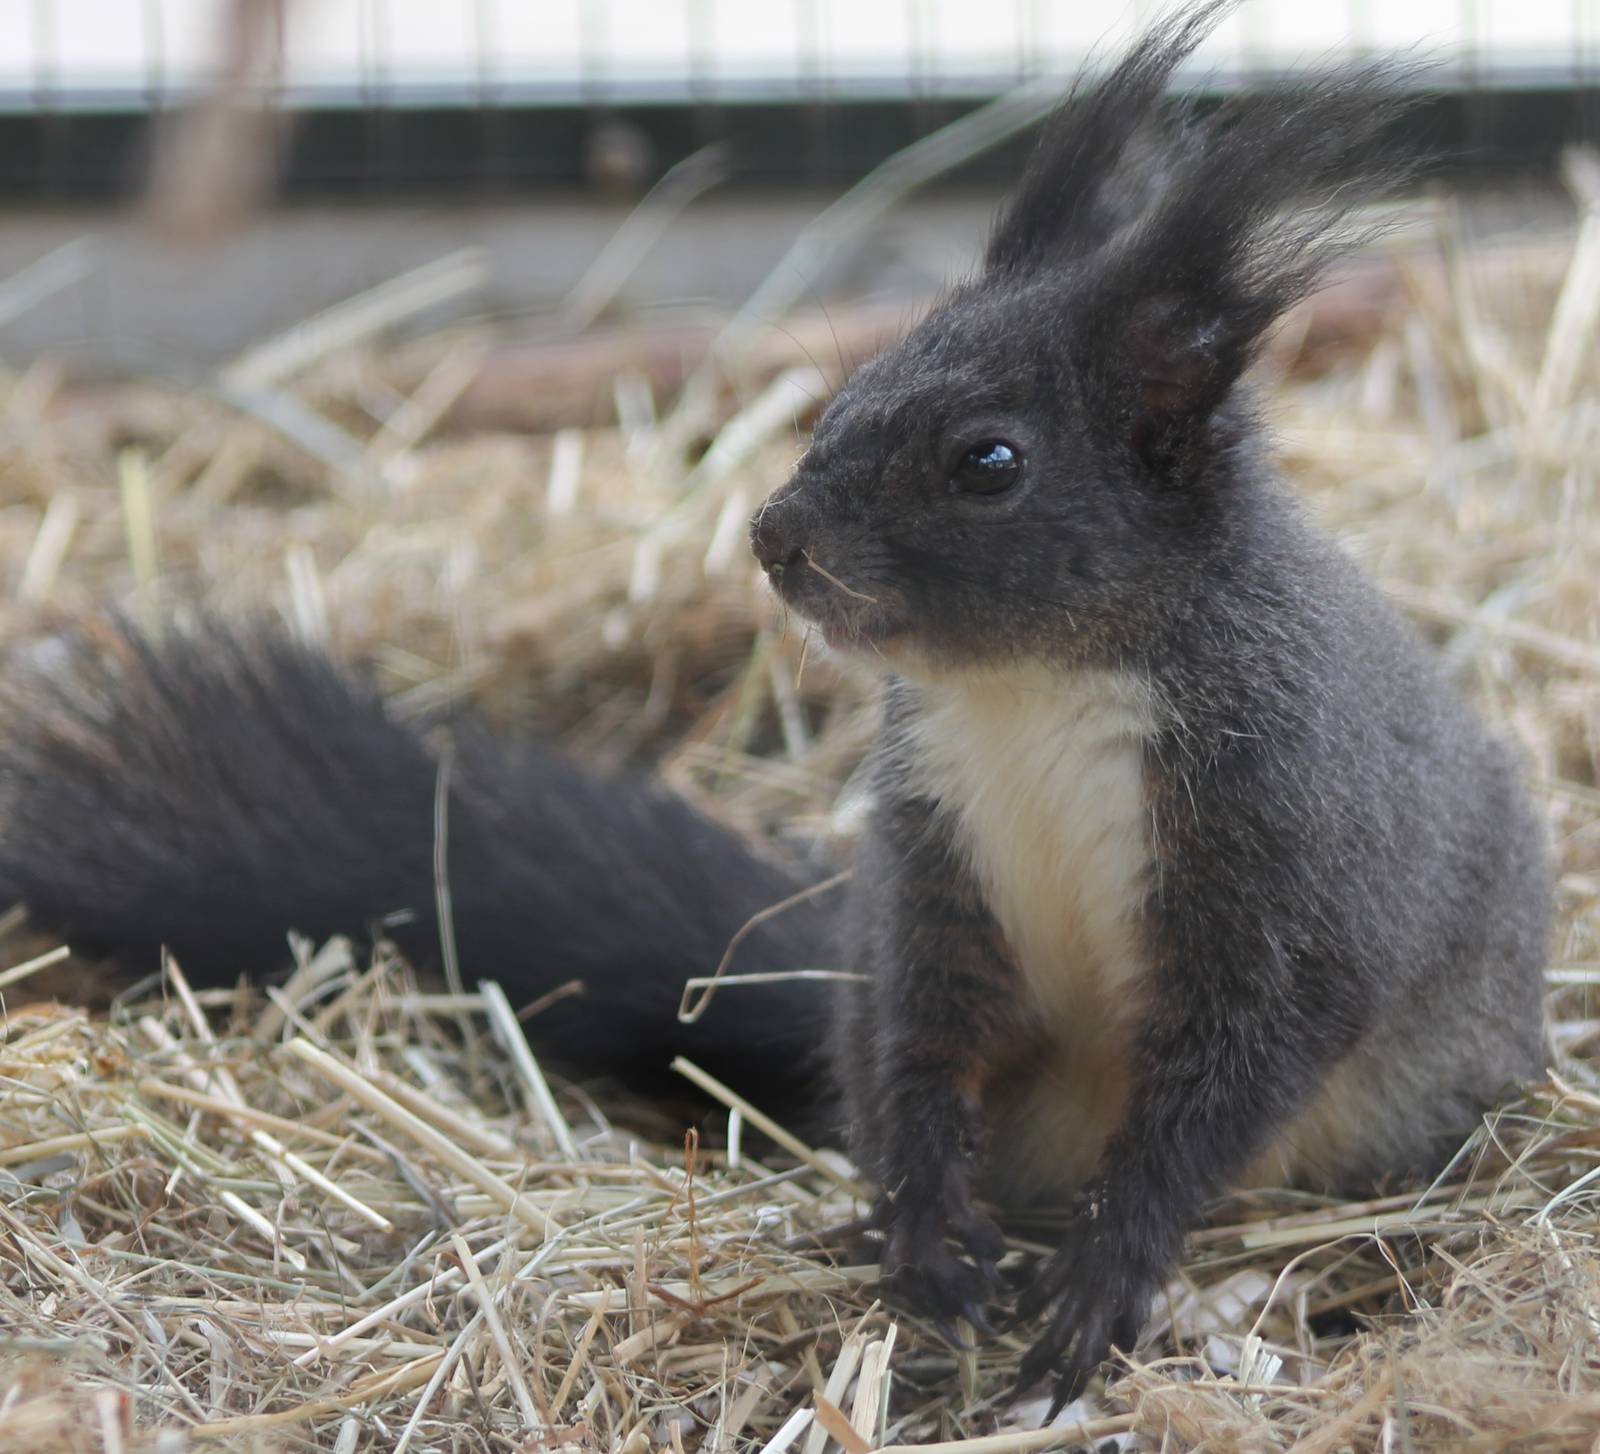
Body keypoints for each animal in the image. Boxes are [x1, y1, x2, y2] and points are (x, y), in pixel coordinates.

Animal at [0, 1, 1552, 1413]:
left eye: (989, 459)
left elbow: (1231, 1067)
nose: (774, 536)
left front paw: (1102, 1280)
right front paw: (926, 1237)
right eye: (850, 386)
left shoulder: (1276, 838)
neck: (1031, 686)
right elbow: (922, 1039)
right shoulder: (933, 857)